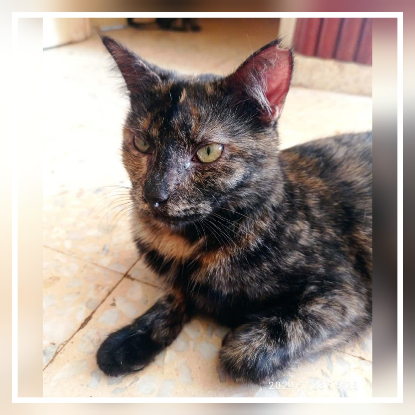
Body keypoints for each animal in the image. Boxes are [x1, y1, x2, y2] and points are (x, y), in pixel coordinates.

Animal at [96, 36, 372, 385]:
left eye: (208, 152)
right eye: (142, 143)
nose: (154, 194)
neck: (189, 243)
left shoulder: (346, 294)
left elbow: (244, 355)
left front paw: (241, 328)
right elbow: (176, 294)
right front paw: (132, 338)